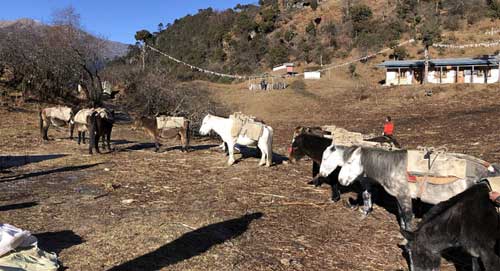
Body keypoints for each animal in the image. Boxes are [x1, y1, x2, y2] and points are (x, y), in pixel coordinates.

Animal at [338, 148, 498, 231]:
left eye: (350, 162)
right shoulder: (399, 196)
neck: (393, 167)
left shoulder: (404, 196)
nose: (340, 180)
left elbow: (408, 216)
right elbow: (402, 214)